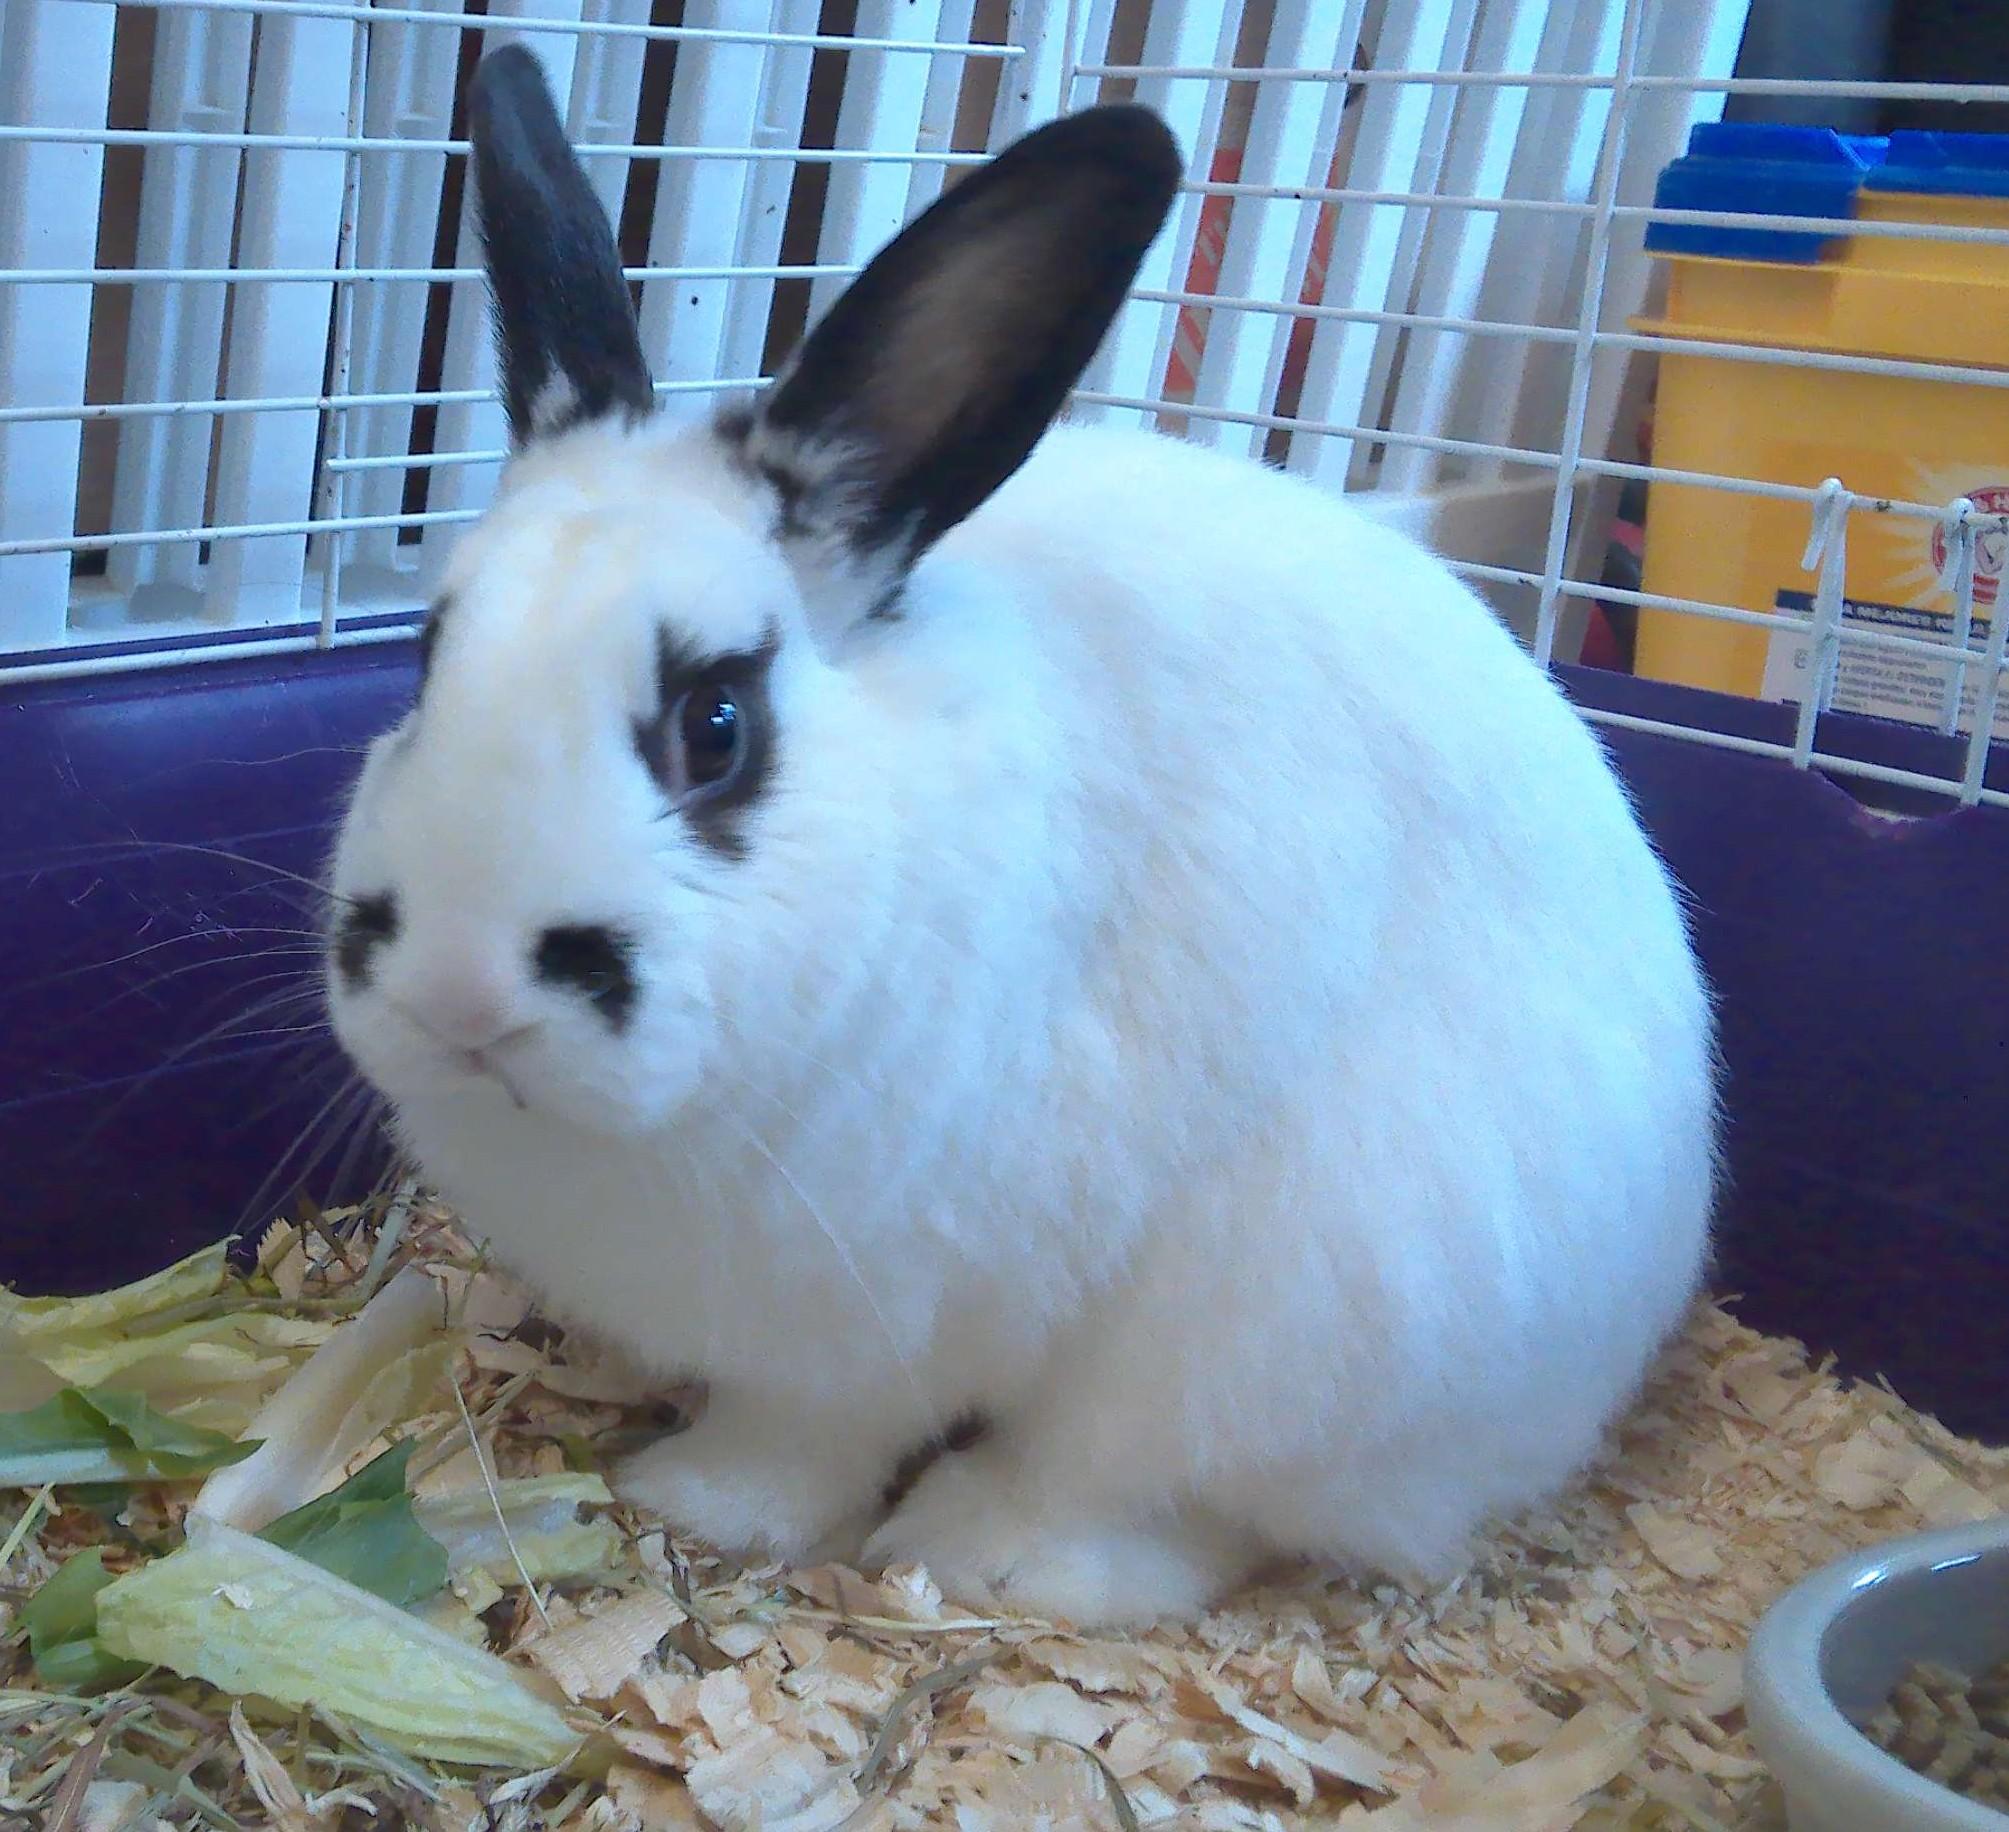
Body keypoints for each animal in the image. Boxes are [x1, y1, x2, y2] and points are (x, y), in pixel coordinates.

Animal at [323, 43, 1717, 1628]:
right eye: (424, 664)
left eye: (717, 724)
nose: (457, 997)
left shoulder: (887, 1316)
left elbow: (806, 1437)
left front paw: (697, 1504)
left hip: (1293, 1322)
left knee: (1175, 1498)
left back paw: (982, 1545)